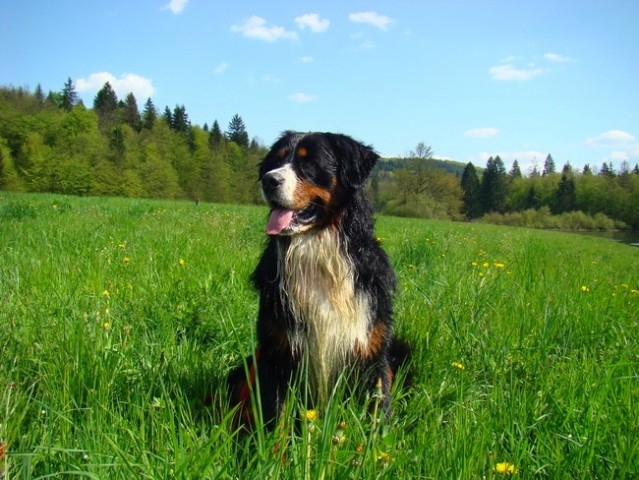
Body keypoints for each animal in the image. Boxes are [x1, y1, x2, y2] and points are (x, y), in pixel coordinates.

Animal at [229, 130, 410, 428]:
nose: (269, 180)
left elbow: (376, 418)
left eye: (309, 163)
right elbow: (276, 418)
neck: (316, 250)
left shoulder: (372, 352)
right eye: (275, 162)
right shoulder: (277, 350)